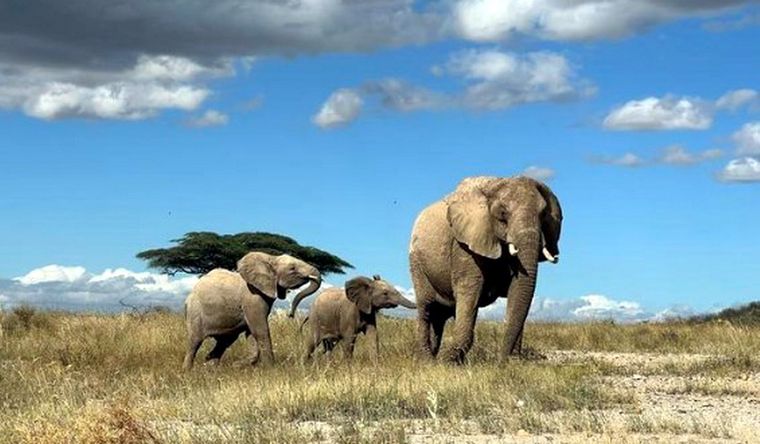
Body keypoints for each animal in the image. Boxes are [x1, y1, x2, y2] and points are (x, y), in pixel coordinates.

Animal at [183, 252, 321, 369]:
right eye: (292, 268)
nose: (290, 315)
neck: (271, 258)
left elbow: (251, 333)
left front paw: (239, 365)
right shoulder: (252, 297)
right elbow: (260, 330)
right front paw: (271, 368)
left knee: (224, 342)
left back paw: (210, 367)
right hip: (195, 311)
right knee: (194, 342)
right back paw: (188, 371)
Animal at [409, 176, 562, 363]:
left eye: (543, 215)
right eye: (502, 214)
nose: (501, 362)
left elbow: (517, 290)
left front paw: (513, 361)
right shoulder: (464, 244)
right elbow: (470, 290)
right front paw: (446, 362)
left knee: (439, 316)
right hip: (417, 263)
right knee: (426, 307)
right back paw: (427, 360)